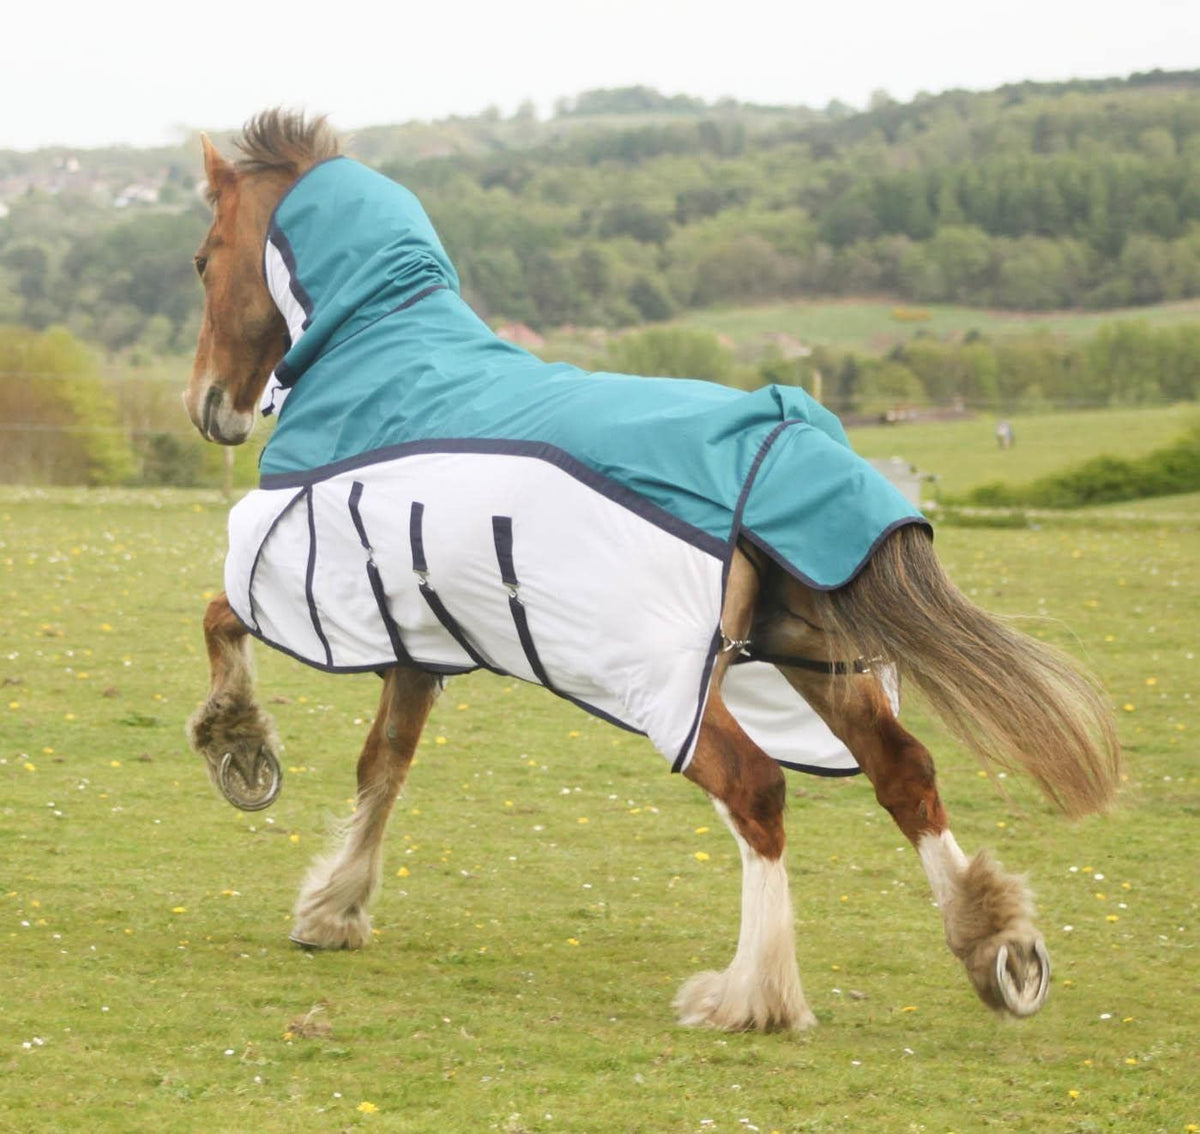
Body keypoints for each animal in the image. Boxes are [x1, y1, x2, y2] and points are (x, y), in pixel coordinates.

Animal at [182, 110, 1121, 1032]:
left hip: (669, 685)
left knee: (757, 789)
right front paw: (334, 908)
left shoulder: (312, 576)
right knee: (905, 773)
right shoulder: (415, 626)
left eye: (200, 260)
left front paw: (240, 750)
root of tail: (783, 433)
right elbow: (384, 762)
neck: (384, 353)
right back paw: (996, 948)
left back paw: (752, 995)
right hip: (813, 659)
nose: (208, 407)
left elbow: (221, 617)